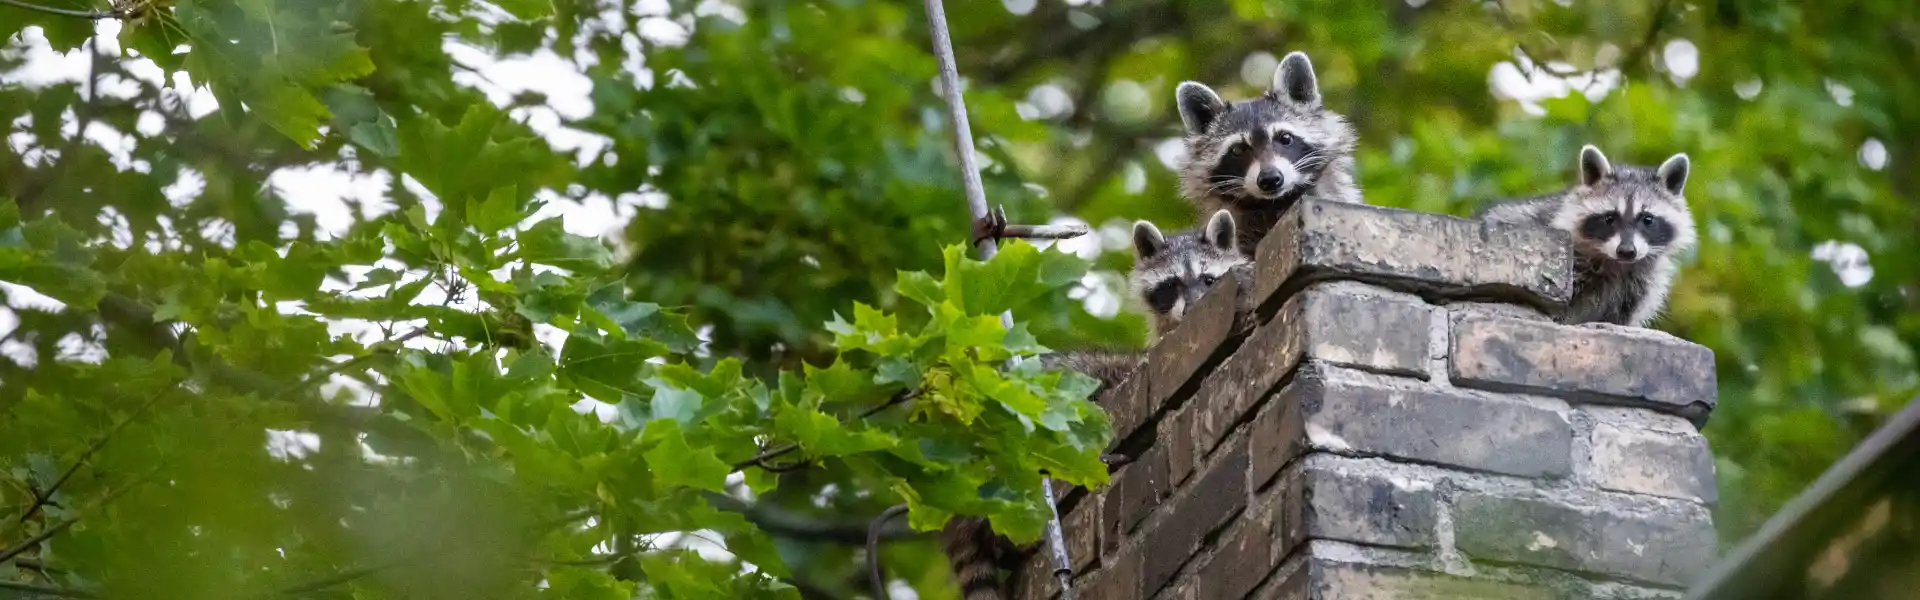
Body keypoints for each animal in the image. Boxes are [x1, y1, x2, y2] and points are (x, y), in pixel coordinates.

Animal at [1477, 144, 1696, 328]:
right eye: (1609, 218)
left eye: (1647, 219)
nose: (1626, 251)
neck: (1617, 263)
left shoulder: (1638, 285)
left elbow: (1621, 318)